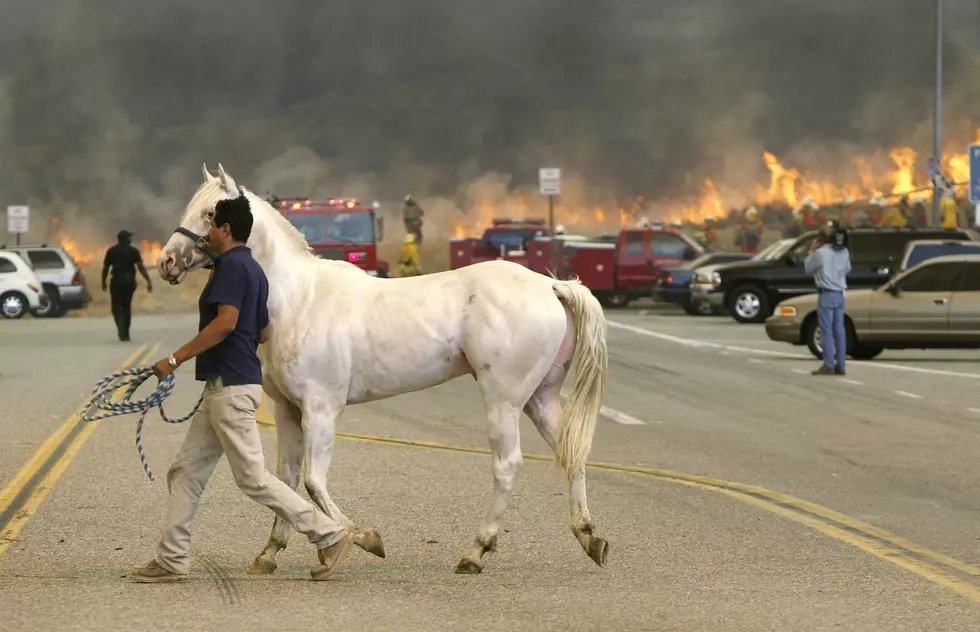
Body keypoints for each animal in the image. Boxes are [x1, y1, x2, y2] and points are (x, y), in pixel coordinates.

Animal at [157, 164, 608, 576]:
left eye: (210, 213)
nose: (166, 262)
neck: (299, 299)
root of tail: (551, 285)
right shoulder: (287, 410)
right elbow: (286, 481)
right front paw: (271, 552)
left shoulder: (321, 409)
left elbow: (313, 481)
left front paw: (357, 539)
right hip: (539, 398)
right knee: (571, 454)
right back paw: (589, 536)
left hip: (504, 400)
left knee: (508, 465)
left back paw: (476, 551)